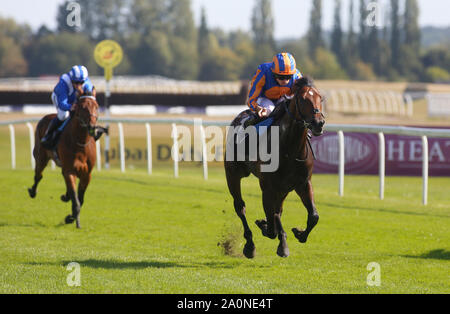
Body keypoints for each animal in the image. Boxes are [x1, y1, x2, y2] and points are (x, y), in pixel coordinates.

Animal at [27, 93, 99, 228]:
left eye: (96, 106)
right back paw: (33, 191)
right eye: (82, 107)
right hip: (41, 157)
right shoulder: (70, 170)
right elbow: (76, 200)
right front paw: (72, 219)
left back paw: (65, 196)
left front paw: (71, 217)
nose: (92, 126)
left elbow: (80, 199)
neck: (80, 143)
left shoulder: (87, 175)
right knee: (38, 175)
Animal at [224, 76, 324, 258]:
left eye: (320, 98)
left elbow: (313, 216)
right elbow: (272, 222)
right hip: (233, 174)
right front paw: (271, 233)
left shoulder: (303, 183)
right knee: (240, 207)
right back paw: (250, 245)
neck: (290, 149)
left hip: (283, 188)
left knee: (277, 211)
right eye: (302, 99)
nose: (319, 123)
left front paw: (299, 234)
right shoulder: (268, 186)